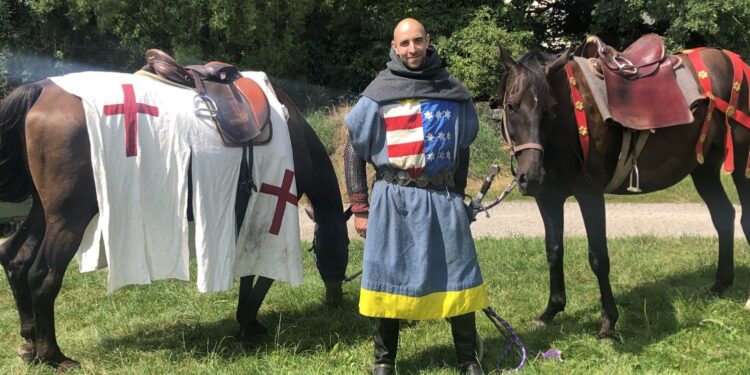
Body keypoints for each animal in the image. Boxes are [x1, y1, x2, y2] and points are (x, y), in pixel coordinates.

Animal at [0, 78, 352, 372]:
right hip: (67, 218)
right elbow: (262, 273)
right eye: (345, 246)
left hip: (43, 213)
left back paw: (30, 343)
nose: (335, 300)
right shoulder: (269, 215)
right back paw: (53, 355)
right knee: (43, 276)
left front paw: (244, 320)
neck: (292, 131)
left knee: (15, 259)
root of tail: (41, 90)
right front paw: (249, 323)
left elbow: (247, 272)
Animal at [500, 44, 750, 340]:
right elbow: (553, 251)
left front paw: (609, 321)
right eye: (511, 105)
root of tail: (732, 59)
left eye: (552, 109)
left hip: (742, 165)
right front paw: (551, 310)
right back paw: (720, 284)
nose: (531, 177)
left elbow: (598, 257)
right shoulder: (547, 197)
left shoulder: (590, 195)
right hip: (704, 170)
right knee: (723, 216)